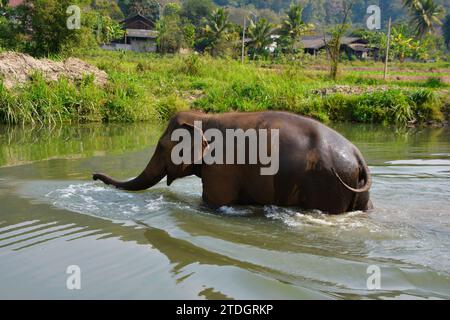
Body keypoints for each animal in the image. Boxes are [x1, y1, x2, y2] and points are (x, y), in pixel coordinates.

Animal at [92, 110, 372, 215]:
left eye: (161, 146)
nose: (94, 175)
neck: (203, 117)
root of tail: (358, 156)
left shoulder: (221, 168)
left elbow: (212, 204)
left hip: (327, 185)